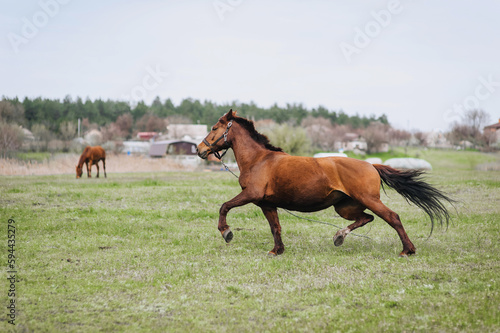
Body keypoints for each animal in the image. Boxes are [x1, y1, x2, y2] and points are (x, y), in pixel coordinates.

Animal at [197, 110, 456, 255]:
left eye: (214, 128)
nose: (200, 149)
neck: (259, 160)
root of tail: (371, 165)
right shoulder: (267, 204)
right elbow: (275, 227)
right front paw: (277, 251)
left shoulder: (250, 195)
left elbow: (224, 206)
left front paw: (226, 232)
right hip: (345, 207)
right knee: (365, 218)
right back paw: (339, 236)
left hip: (368, 200)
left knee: (392, 217)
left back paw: (407, 250)